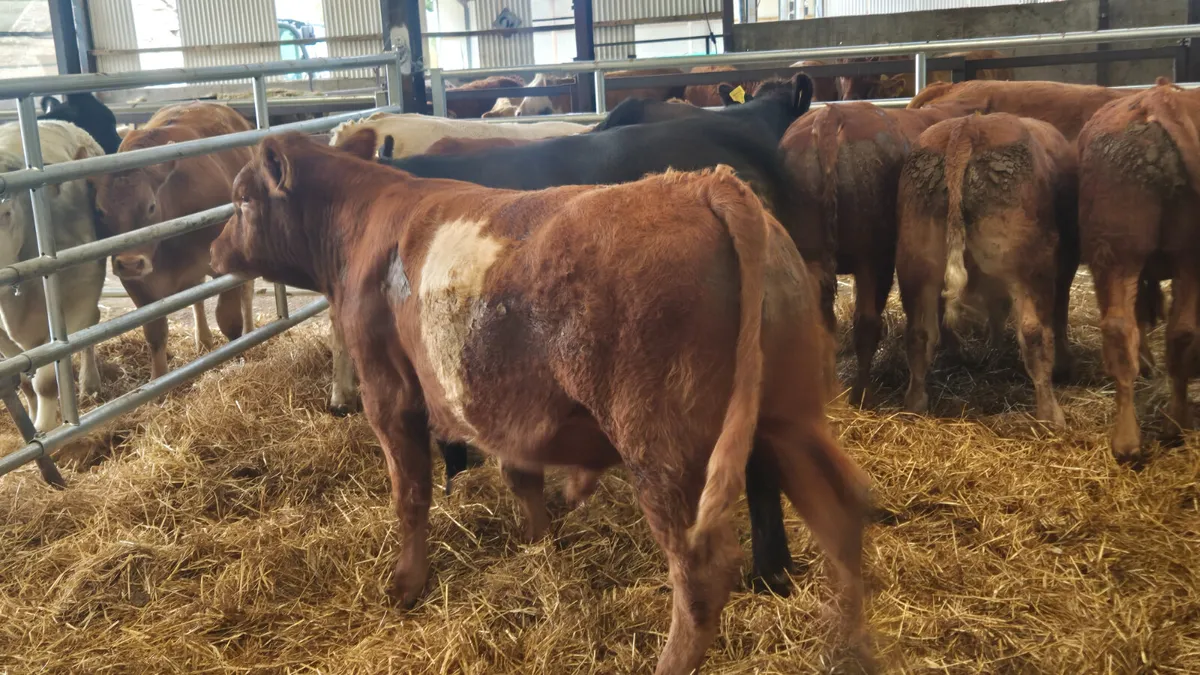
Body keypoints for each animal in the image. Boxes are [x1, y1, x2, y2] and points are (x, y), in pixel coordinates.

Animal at [0, 120, 106, 433]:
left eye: (7, 213)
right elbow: (25, 380)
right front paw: (34, 419)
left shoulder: (76, 301)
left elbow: (46, 381)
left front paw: (46, 428)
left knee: (91, 327)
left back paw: (89, 383)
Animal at [91, 102, 256, 380]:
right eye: (100, 211)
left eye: (151, 206)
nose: (130, 263)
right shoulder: (137, 285)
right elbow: (155, 332)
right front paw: (159, 380)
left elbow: (228, 319)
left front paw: (238, 357)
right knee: (197, 297)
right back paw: (203, 340)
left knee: (246, 292)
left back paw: (250, 331)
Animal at [210, 131, 871, 674]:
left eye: (241, 201)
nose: (215, 252)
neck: (365, 222)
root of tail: (704, 183)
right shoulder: (508, 404)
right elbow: (519, 474)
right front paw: (537, 542)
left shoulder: (388, 389)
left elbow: (410, 491)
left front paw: (406, 583)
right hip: (789, 415)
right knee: (840, 521)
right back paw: (849, 650)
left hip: (660, 444)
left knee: (702, 571)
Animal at [896, 112, 1078, 427]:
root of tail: (967, 127)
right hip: (1031, 269)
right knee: (1034, 333)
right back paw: (1050, 414)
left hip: (916, 264)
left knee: (919, 333)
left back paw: (915, 403)